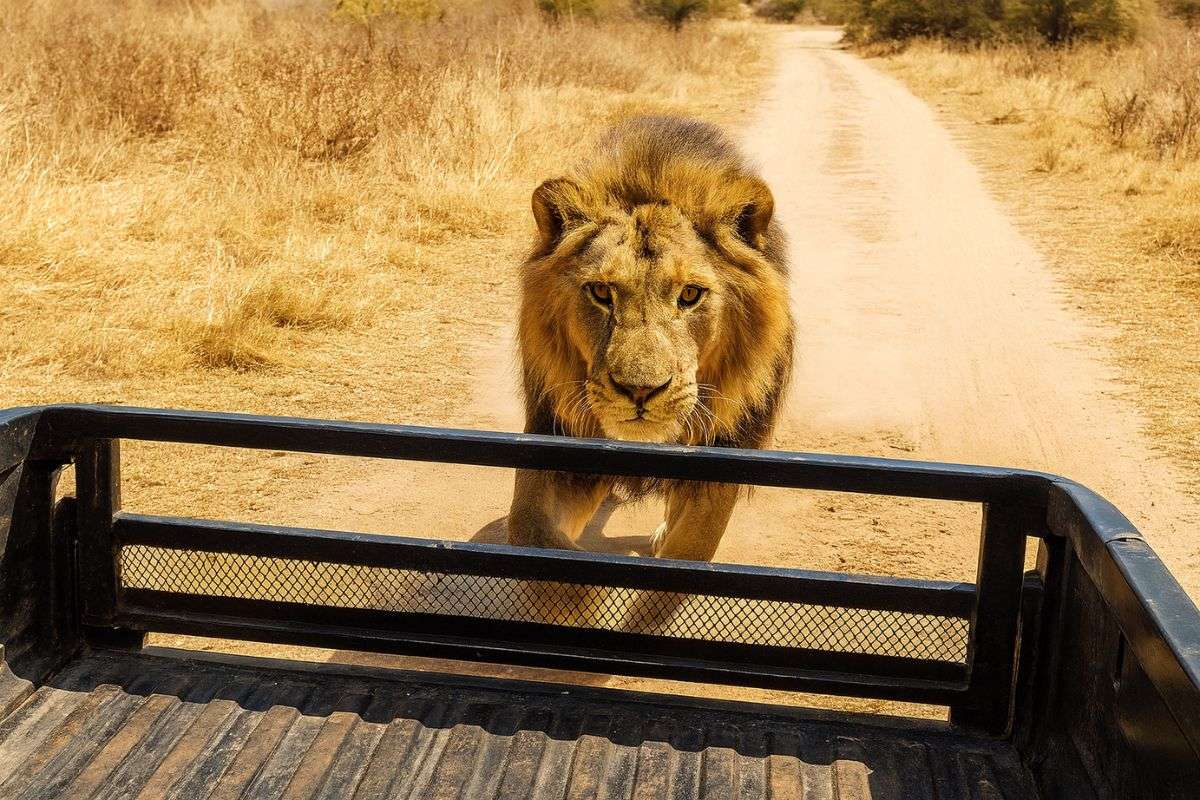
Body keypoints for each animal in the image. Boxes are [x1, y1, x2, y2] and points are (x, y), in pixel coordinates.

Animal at [507, 115, 794, 563]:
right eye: (601, 292)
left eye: (690, 294)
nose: (639, 391)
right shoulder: (558, 436)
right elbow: (531, 531)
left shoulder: (722, 453)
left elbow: (689, 551)